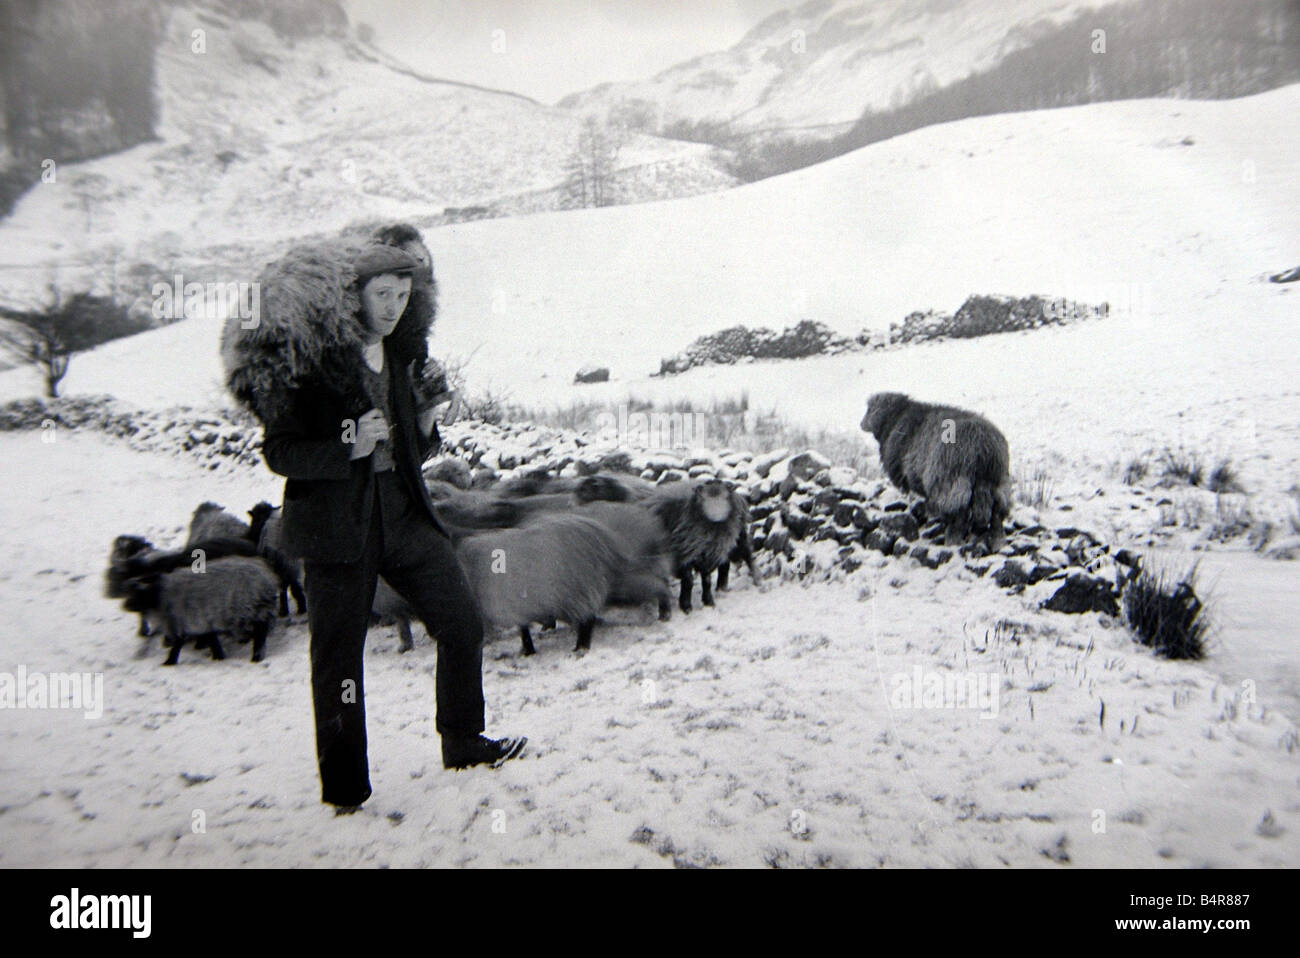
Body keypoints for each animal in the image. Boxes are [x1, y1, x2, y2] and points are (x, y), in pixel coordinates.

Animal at [119, 556, 279, 660]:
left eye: (137, 593)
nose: (124, 606)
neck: (160, 596)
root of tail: (267, 579)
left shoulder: (182, 620)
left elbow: (178, 645)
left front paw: (169, 663)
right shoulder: (203, 620)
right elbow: (212, 640)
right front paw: (219, 657)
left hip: (249, 612)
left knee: (260, 634)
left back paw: (256, 656)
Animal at [650, 478, 754, 613]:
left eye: (726, 497)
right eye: (703, 498)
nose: (716, 515)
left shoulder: (707, 554)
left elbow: (707, 580)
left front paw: (708, 602)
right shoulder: (685, 554)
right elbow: (688, 581)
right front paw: (686, 606)